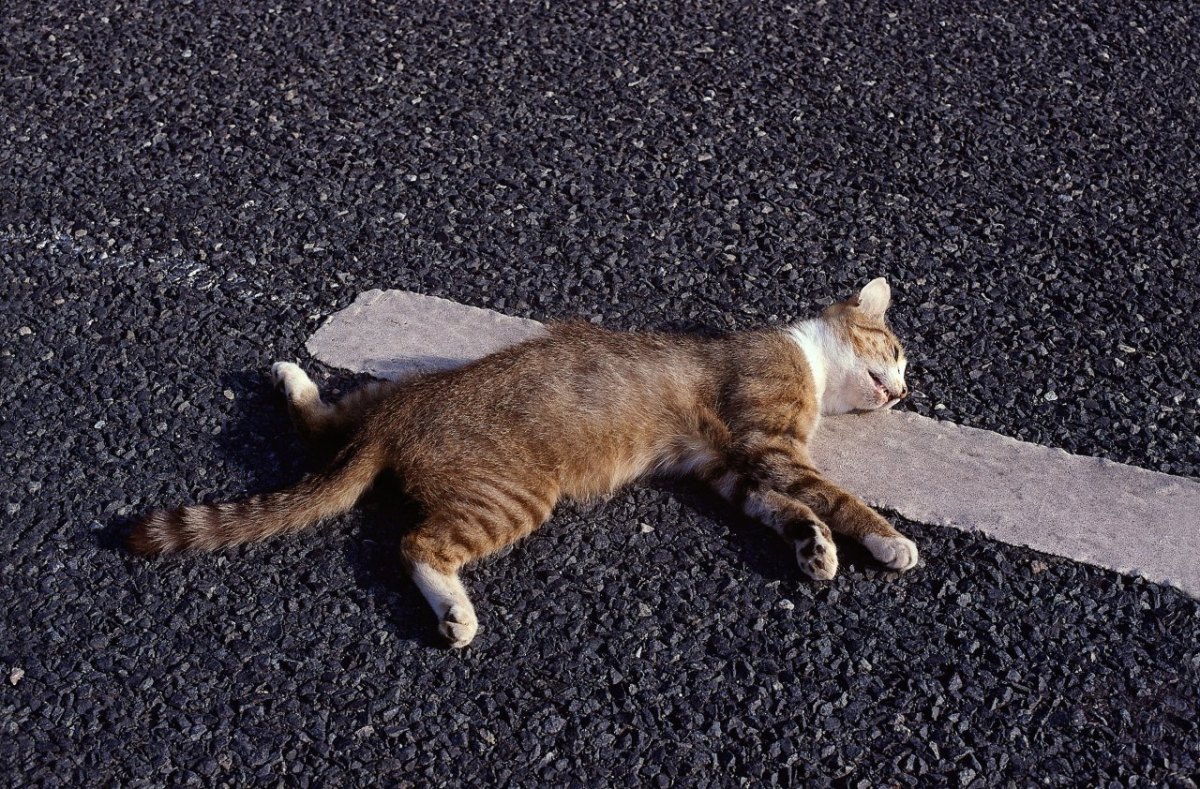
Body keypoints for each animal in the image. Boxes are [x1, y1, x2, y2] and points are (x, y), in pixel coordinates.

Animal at [126, 276, 916, 647]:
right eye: (897, 348)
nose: (902, 391)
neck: (807, 358)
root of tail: (393, 425)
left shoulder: (723, 466)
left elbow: (781, 508)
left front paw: (813, 546)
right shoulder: (767, 442)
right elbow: (832, 495)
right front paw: (888, 540)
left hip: (382, 394)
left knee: (322, 426)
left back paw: (292, 377)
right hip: (516, 496)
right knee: (417, 543)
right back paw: (455, 613)